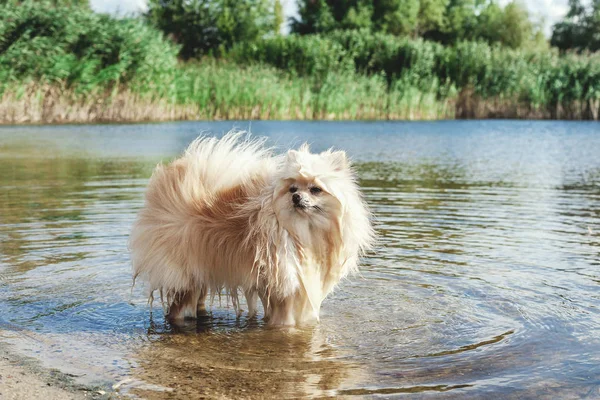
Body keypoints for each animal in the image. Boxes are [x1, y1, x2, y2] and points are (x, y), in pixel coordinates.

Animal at [131, 133, 376, 326]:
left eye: (315, 189)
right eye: (292, 188)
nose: (296, 197)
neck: (304, 231)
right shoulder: (284, 284)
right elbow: (286, 317)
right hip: (182, 273)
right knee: (178, 307)